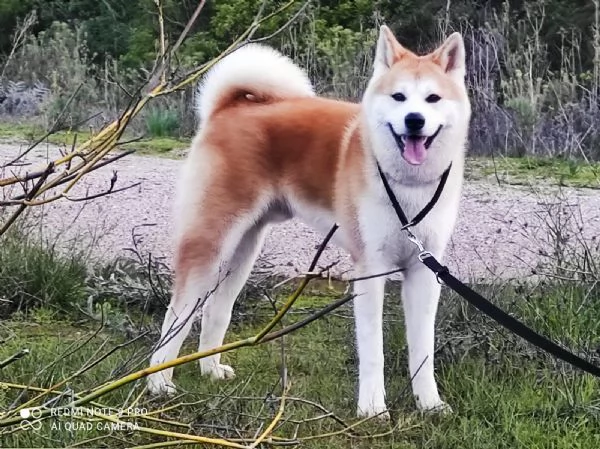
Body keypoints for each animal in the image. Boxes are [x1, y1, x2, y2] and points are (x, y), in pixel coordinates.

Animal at [148, 24, 472, 416]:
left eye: (432, 98)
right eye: (399, 97)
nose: (414, 120)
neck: (407, 186)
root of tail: (230, 106)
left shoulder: (425, 272)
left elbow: (423, 350)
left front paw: (429, 404)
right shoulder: (371, 270)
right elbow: (373, 352)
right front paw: (372, 408)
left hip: (242, 252)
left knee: (216, 310)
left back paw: (210, 368)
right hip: (210, 241)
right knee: (176, 315)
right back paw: (158, 382)